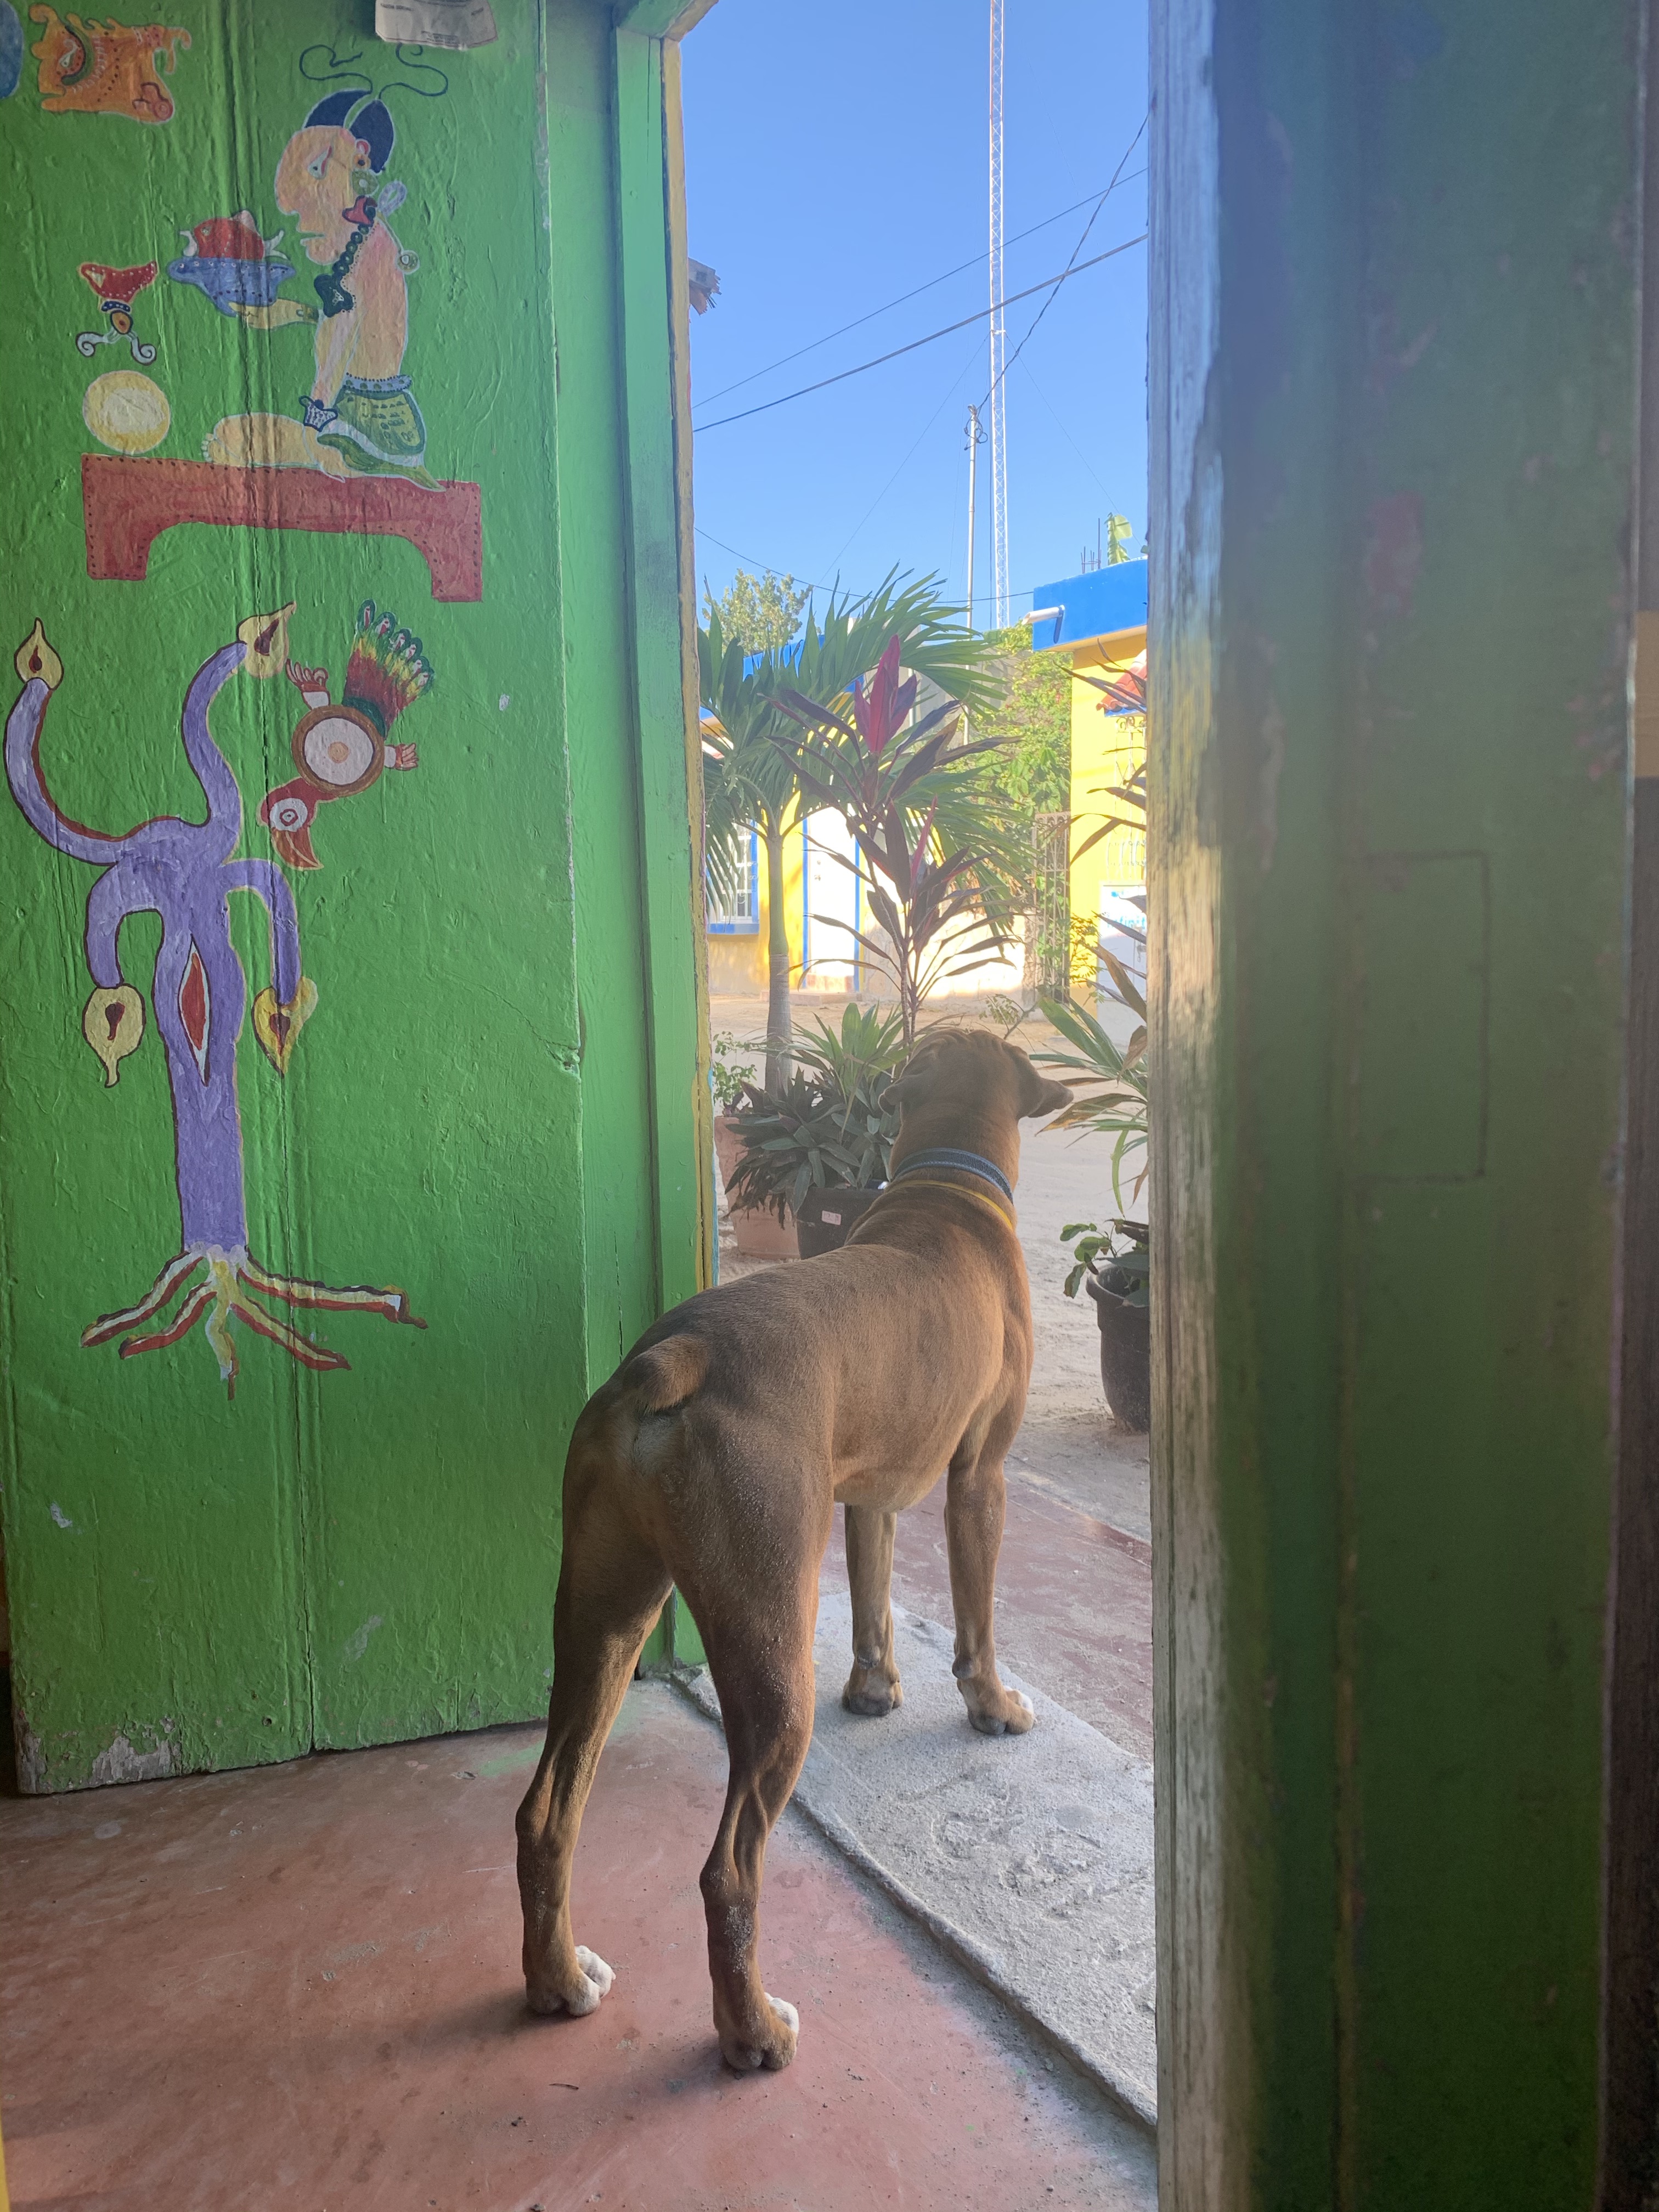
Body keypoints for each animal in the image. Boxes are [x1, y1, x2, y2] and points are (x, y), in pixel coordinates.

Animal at [515, 1027, 1072, 2072]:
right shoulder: (977, 1477)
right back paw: (753, 2033)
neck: (948, 1184)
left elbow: (874, 1601)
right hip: (772, 1664)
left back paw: (558, 1979)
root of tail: (676, 1357)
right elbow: (975, 1619)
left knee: (547, 1813)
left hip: (604, 1624)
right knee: (729, 1870)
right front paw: (992, 1704)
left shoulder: (867, 1500)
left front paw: (877, 1689)